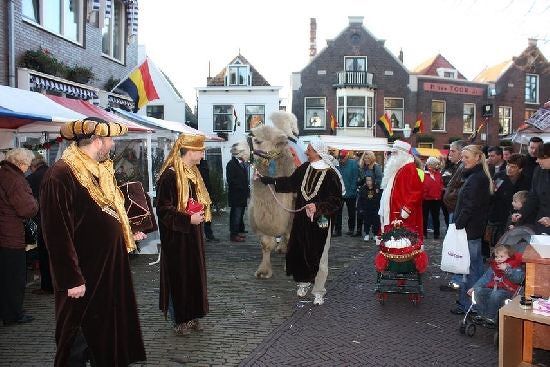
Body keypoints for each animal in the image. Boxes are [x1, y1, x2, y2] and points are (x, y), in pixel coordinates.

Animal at [244, 112, 300, 278]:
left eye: (258, 141)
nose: (234, 148)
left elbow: (291, 236)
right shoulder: (263, 217)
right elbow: (266, 243)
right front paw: (263, 271)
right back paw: (281, 248)